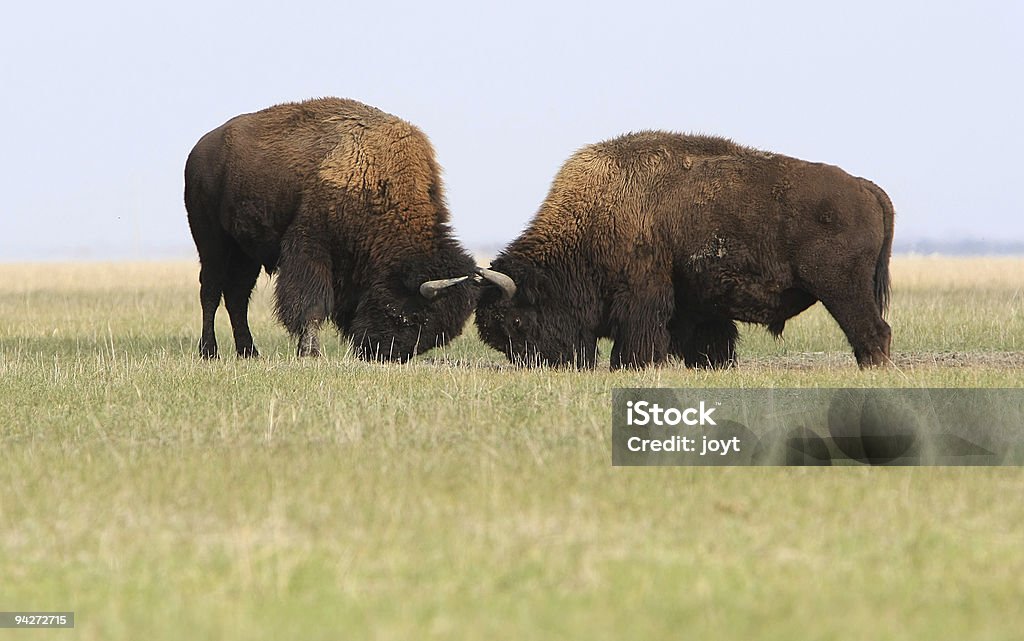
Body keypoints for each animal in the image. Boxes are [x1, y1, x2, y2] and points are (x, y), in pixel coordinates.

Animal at [185, 97, 479, 362]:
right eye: (413, 317)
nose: (384, 355)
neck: (375, 178)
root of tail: (199, 149)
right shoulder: (310, 248)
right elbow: (312, 303)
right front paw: (310, 353)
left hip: (246, 253)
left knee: (237, 296)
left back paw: (249, 352)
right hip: (212, 241)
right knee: (210, 291)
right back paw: (210, 352)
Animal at [475, 130, 892, 368]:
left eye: (517, 321)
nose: (538, 365)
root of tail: (865, 186)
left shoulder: (642, 294)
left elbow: (639, 338)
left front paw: (633, 367)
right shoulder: (697, 302)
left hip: (841, 287)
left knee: (872, 330)